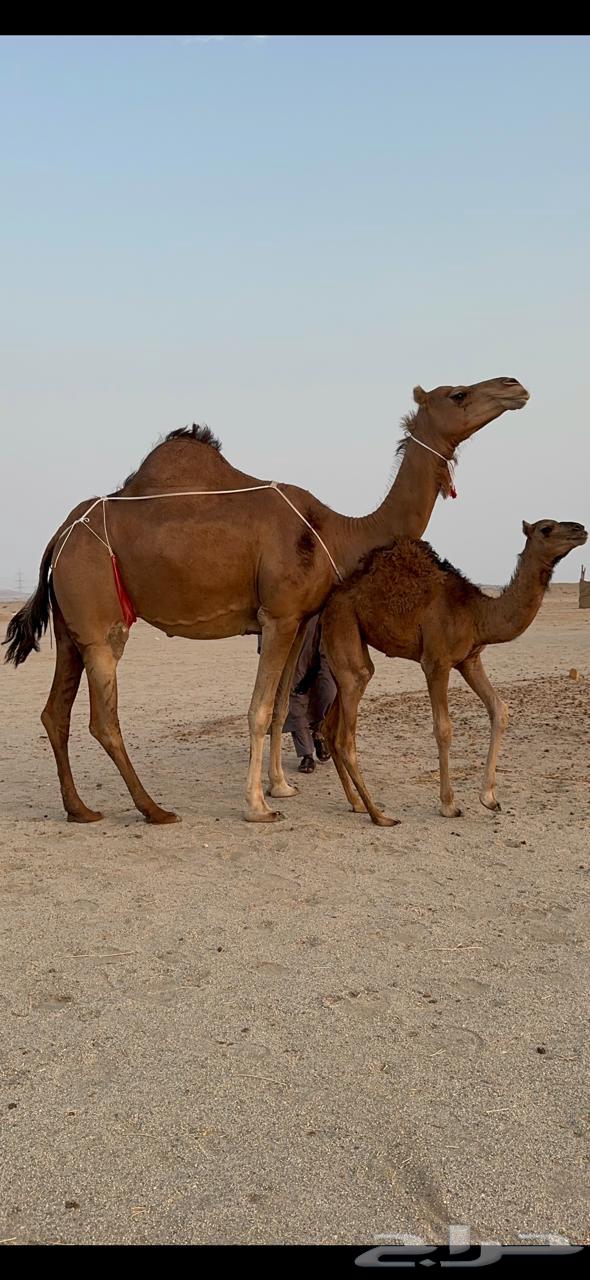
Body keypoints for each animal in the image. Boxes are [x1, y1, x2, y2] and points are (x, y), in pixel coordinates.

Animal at [3, 377, 529, 825]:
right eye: (458, 394)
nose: (515, 386)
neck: (337, 533)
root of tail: (61, 533)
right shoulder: (277, 614)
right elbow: (258, 708)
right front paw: (258, 806)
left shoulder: (299, 619)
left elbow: (278, 706)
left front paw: (281, 787)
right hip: (99, 619)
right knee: (104, 719)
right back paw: (154, 810)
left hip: (70, 625)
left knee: (55, 713)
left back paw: (80, 809)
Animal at [320, 519, 587, 825]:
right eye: (547, 529)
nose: (580, 530)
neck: (477, 612)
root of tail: (330, 601)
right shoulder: (436, 662)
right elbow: (443, 728)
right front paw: (449, 804)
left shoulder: (470, 660)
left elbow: (499, 709)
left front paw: (489, 798)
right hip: (343, 621)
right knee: (347, 730)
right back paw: (380, 815)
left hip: (344, 649)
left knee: (332, 723)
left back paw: (356, 803)